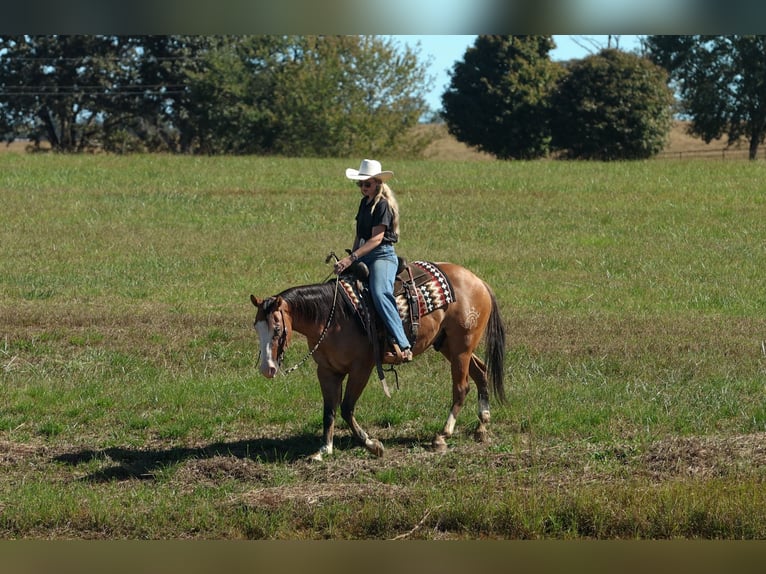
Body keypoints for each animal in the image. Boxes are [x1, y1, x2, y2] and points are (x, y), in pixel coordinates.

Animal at [250, 261, 506, 460]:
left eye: (277, 328)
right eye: (256, 327)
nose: (267, 368)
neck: (333, 317)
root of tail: (478, 281)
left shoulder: (362, 368)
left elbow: (346, 408)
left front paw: (372, 445)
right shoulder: (326, 371)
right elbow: (329, 409)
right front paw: (324, 449)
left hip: (461, 347)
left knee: (461, 387)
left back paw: (442, 436)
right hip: (448, 345)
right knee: (481, 372)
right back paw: (482, 426)